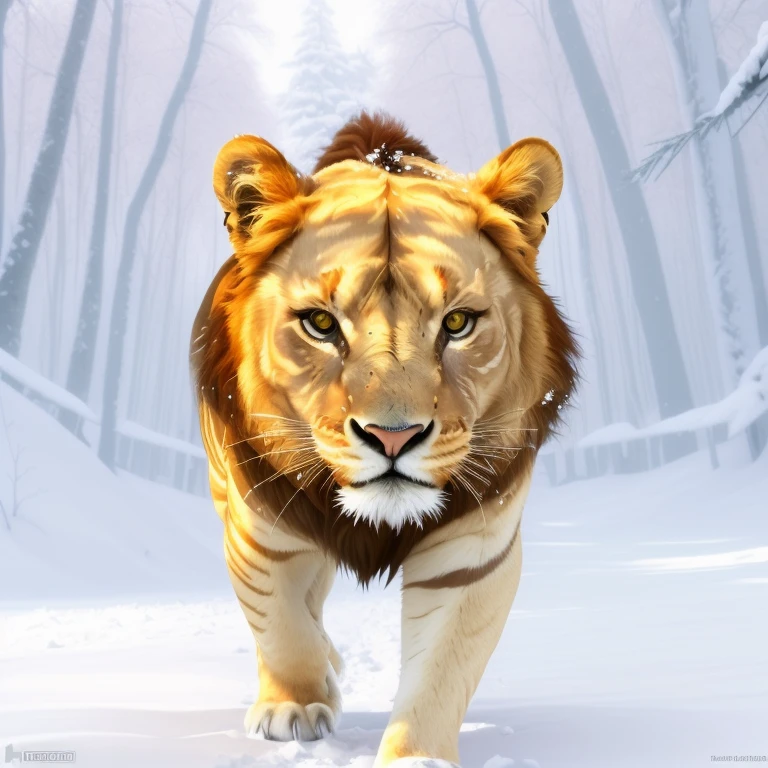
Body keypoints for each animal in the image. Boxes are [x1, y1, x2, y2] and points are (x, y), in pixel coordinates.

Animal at [190, 111, 577, 768]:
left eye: (457, 322)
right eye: (320, 323)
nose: (392, 437)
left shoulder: (472, 553)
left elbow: (441, 670)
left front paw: (416, 757)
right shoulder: (260, 530)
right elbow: (279, 622)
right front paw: (295, 707)